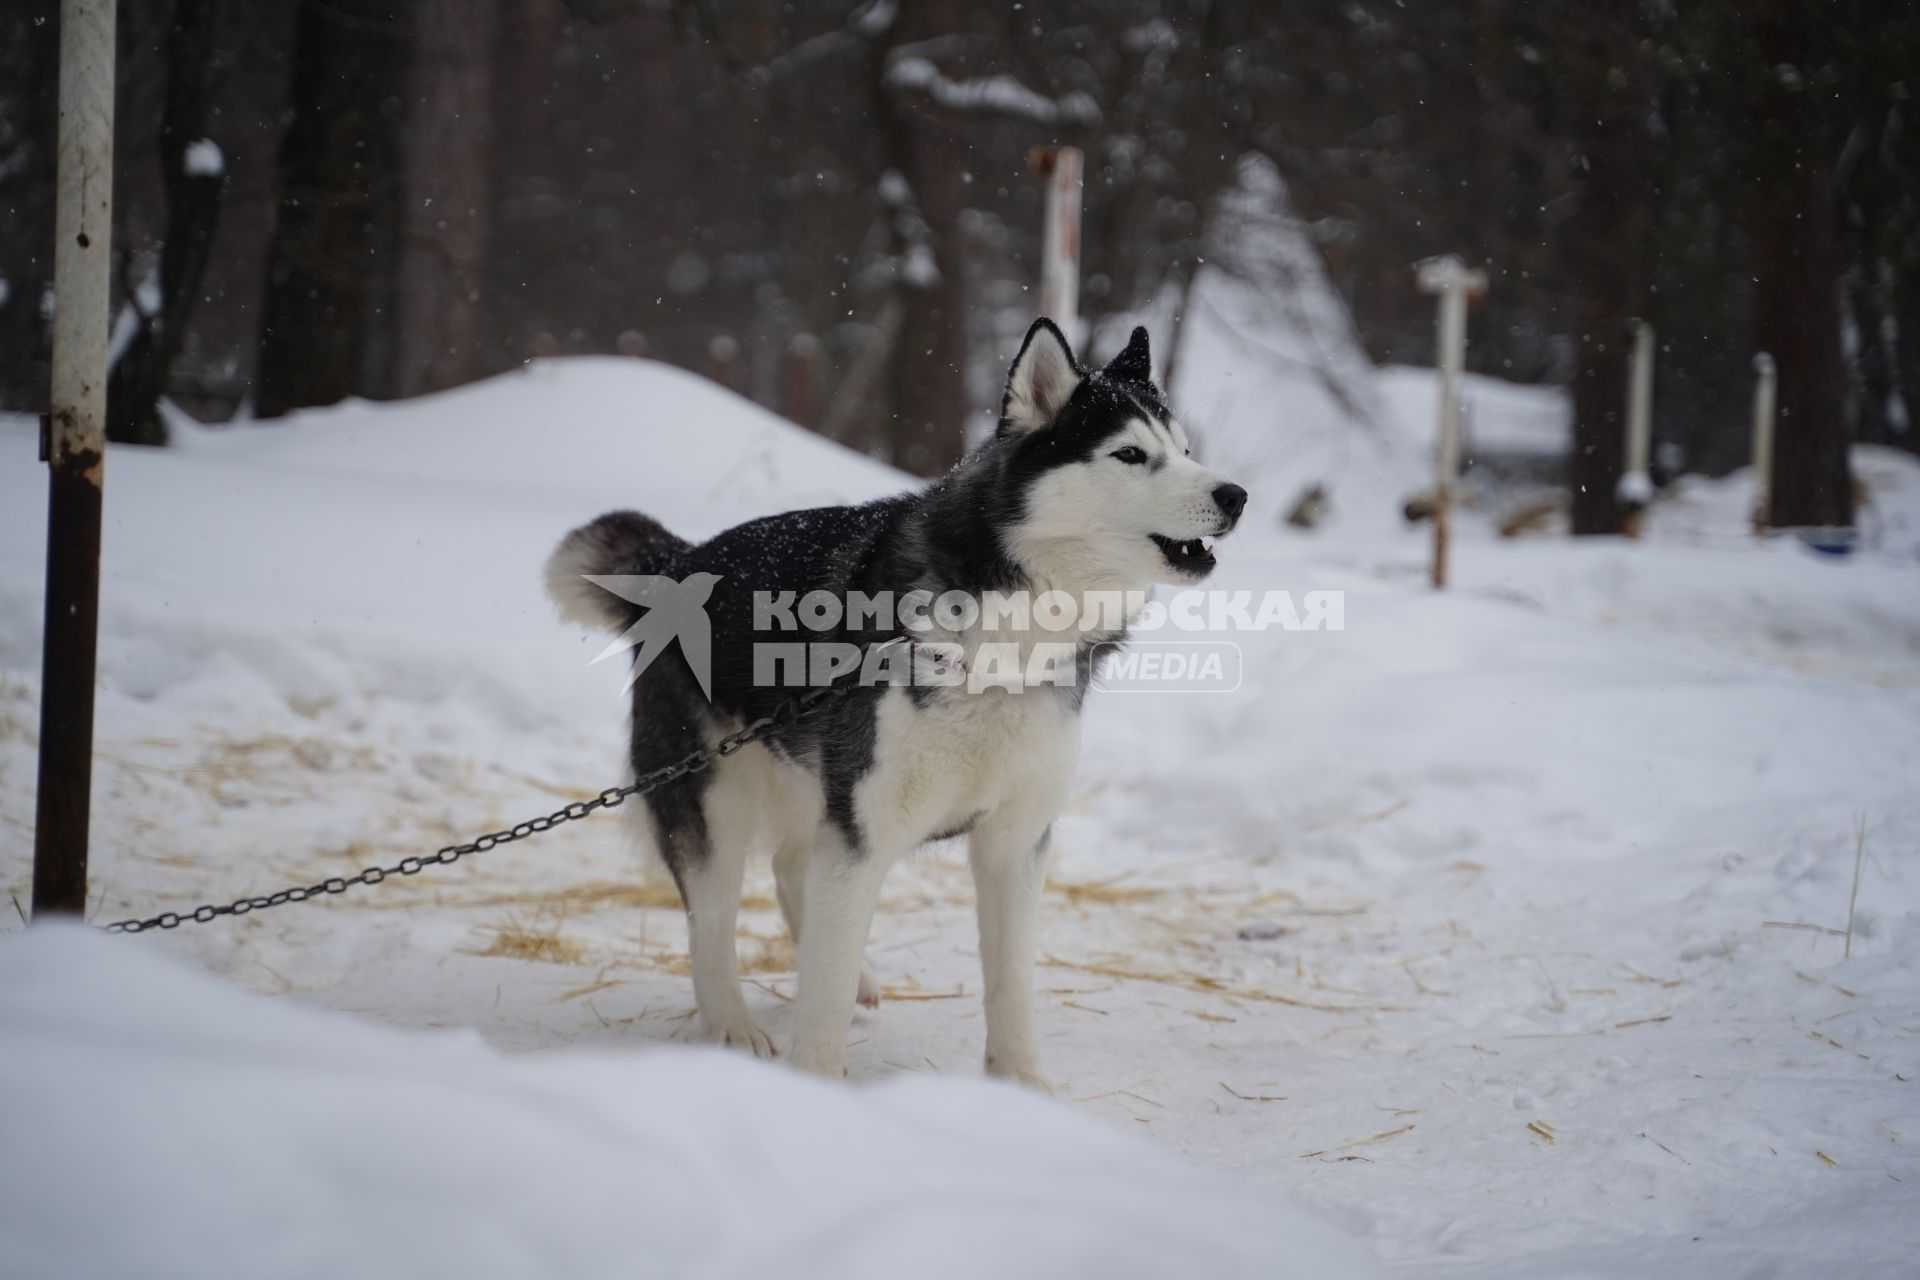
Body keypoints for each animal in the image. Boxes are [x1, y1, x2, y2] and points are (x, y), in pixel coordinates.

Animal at [549, 320, 1251, 1082]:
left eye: (1185, 450)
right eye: (1130, 454)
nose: (1237, 494)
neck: (1004, 642)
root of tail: (676, 563)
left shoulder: (1013, 842)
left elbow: (1011, 984)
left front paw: (1023, 1087)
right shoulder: (864, 828)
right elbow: (819, 1002)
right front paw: (815, 1079)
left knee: (792, 870)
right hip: (716, 804)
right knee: (712, 922)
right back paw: (733, 1025)